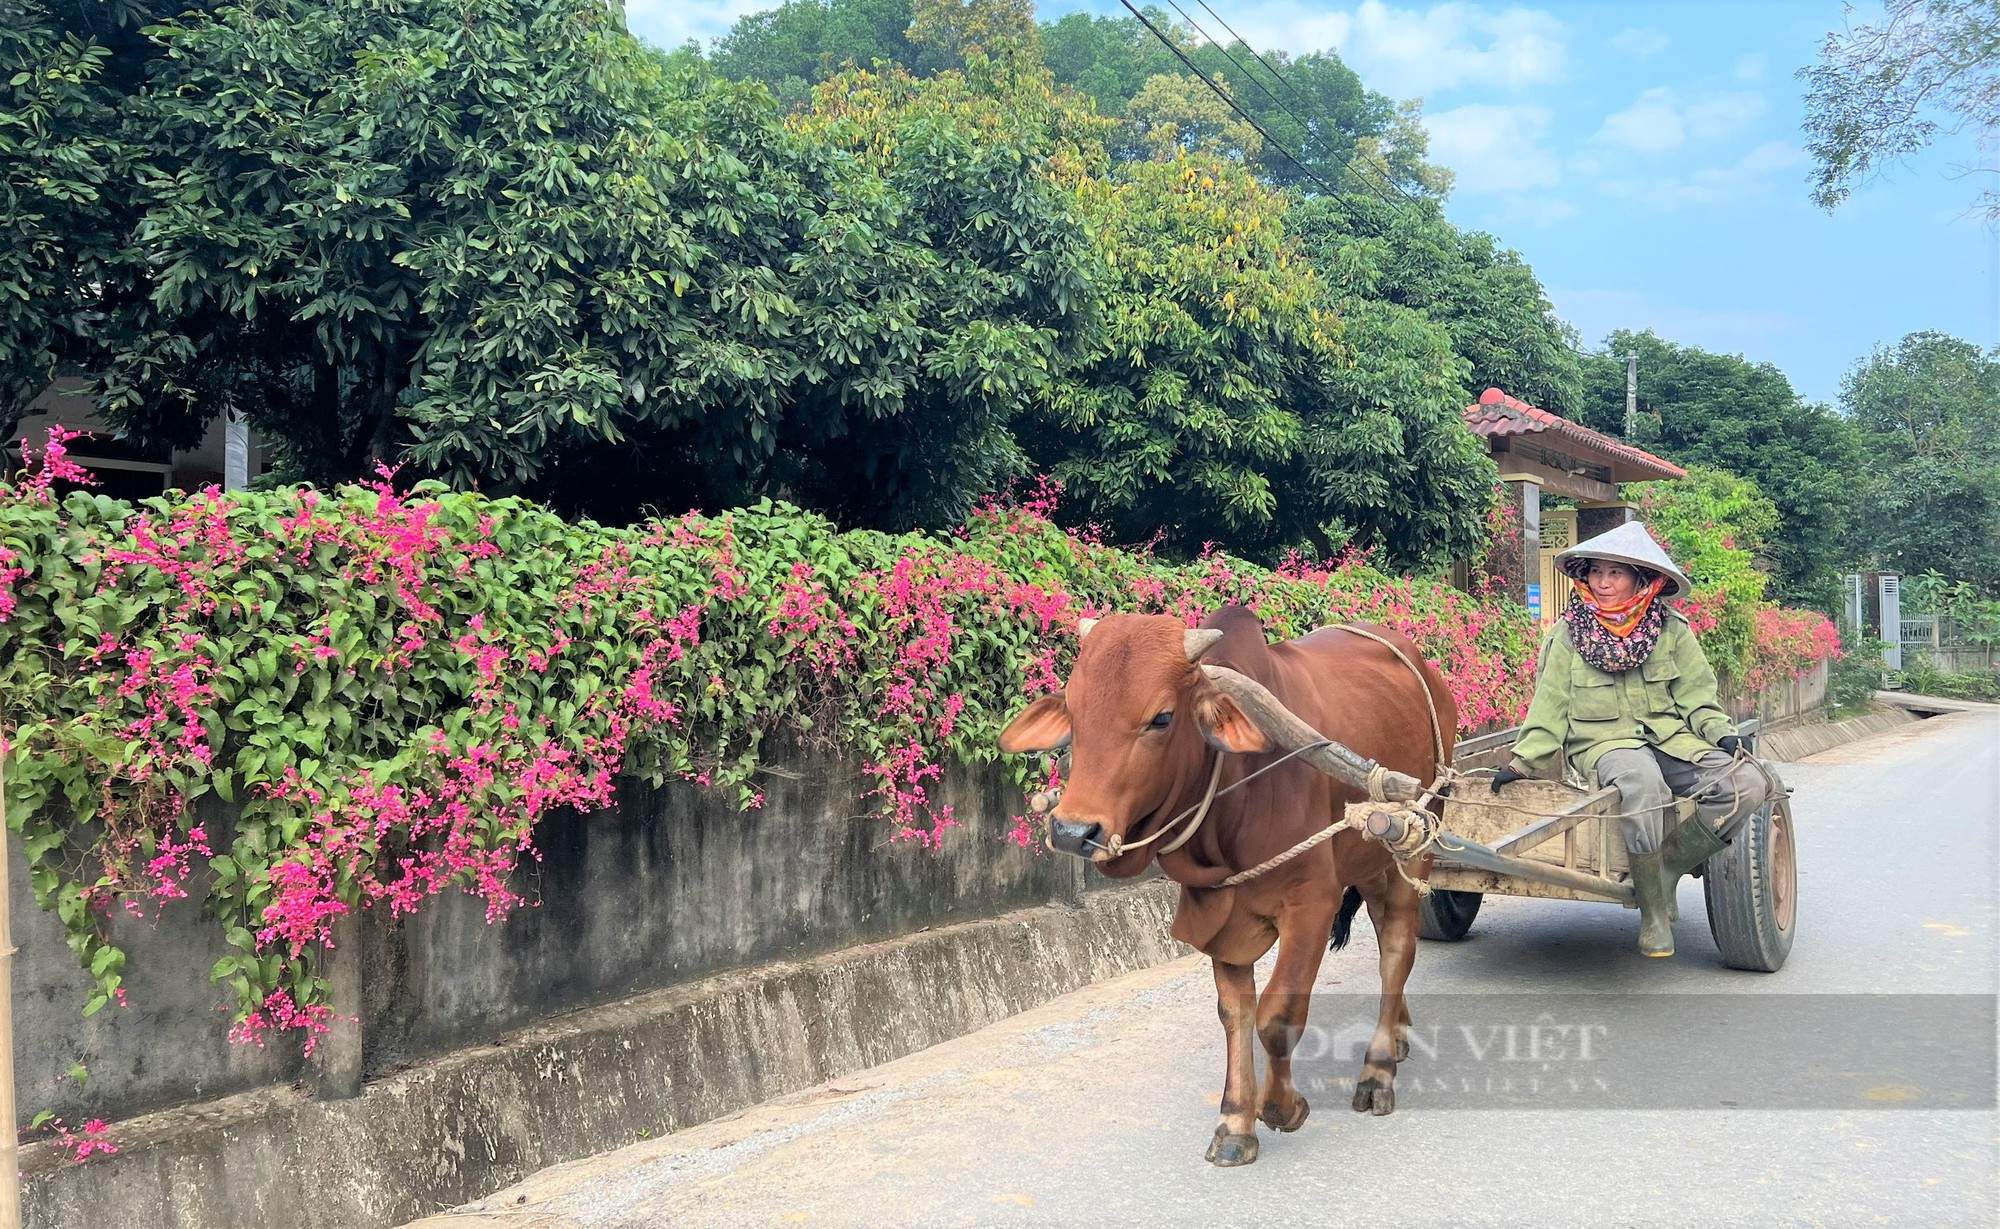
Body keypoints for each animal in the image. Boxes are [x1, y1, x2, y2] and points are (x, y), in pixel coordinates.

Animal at [1000, 612, 1456, 1168]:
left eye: (1161, 718)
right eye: (1073, 708)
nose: (1072, 831)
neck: (1237, 793)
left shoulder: (1312, 904)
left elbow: (1278, 1016)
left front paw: (1281, 1107)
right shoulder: (1219, 913)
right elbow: (1236, 1014)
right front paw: (1236, 1122)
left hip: (1416, 843)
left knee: (1396, 948)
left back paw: (1378, 1070)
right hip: (1371, 858)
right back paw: (1400, 1032)